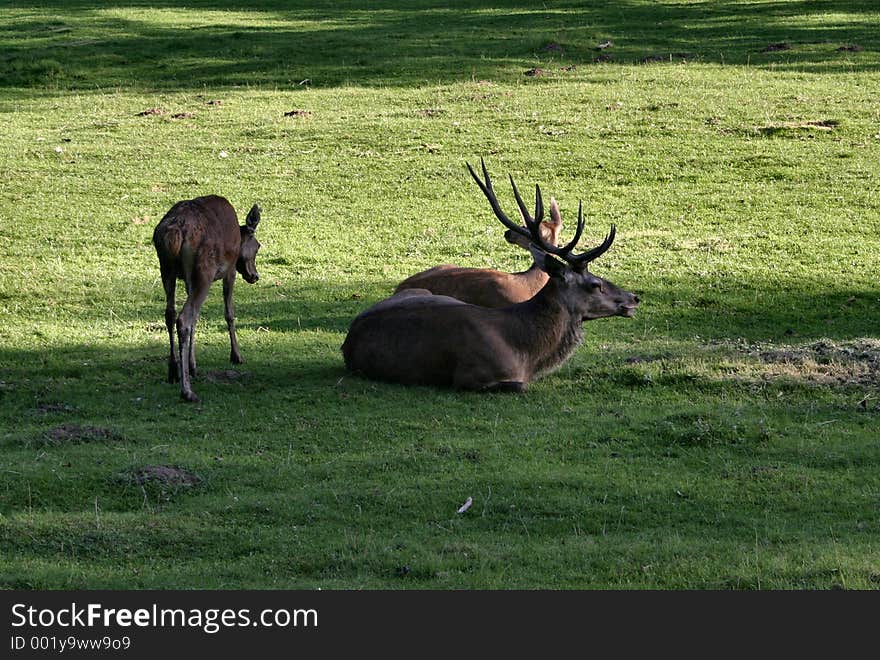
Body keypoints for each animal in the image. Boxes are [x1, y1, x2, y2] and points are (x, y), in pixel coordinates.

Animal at [153, 195, 262, 402]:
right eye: (258, 246)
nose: (255, 276)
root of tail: (175, 233)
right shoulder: (229, 270)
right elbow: (229, 313)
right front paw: (236, 355)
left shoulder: (188, 279)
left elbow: (197, 317)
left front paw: (192, 365)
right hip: (205, 270)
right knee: (184, 317)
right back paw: (187, 391)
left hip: (167, 268)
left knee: (171, 313)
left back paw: (173, 371)